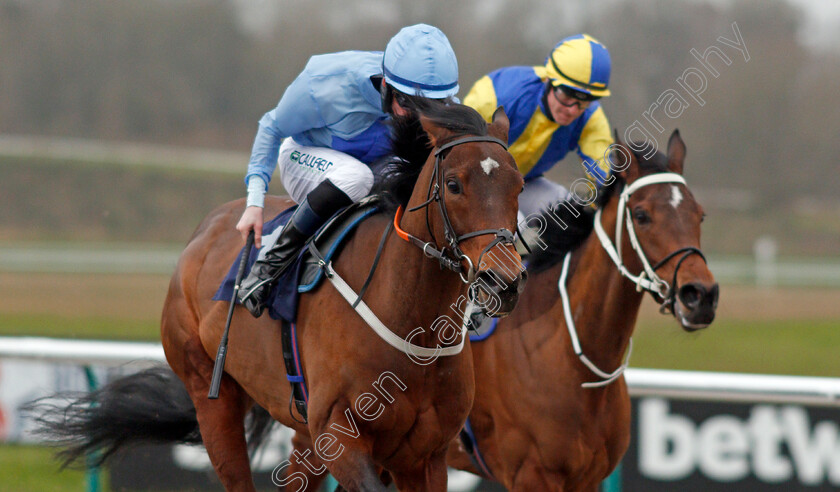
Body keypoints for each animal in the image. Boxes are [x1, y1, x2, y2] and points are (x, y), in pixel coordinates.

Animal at [32, 101, 524, 492]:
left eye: (518, 186)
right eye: (455, 184)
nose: (504, 280)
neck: (409, 324)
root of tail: (206, 230)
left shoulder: (424, 456)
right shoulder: (341, 437)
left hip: (302, 427)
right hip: (210, 391)